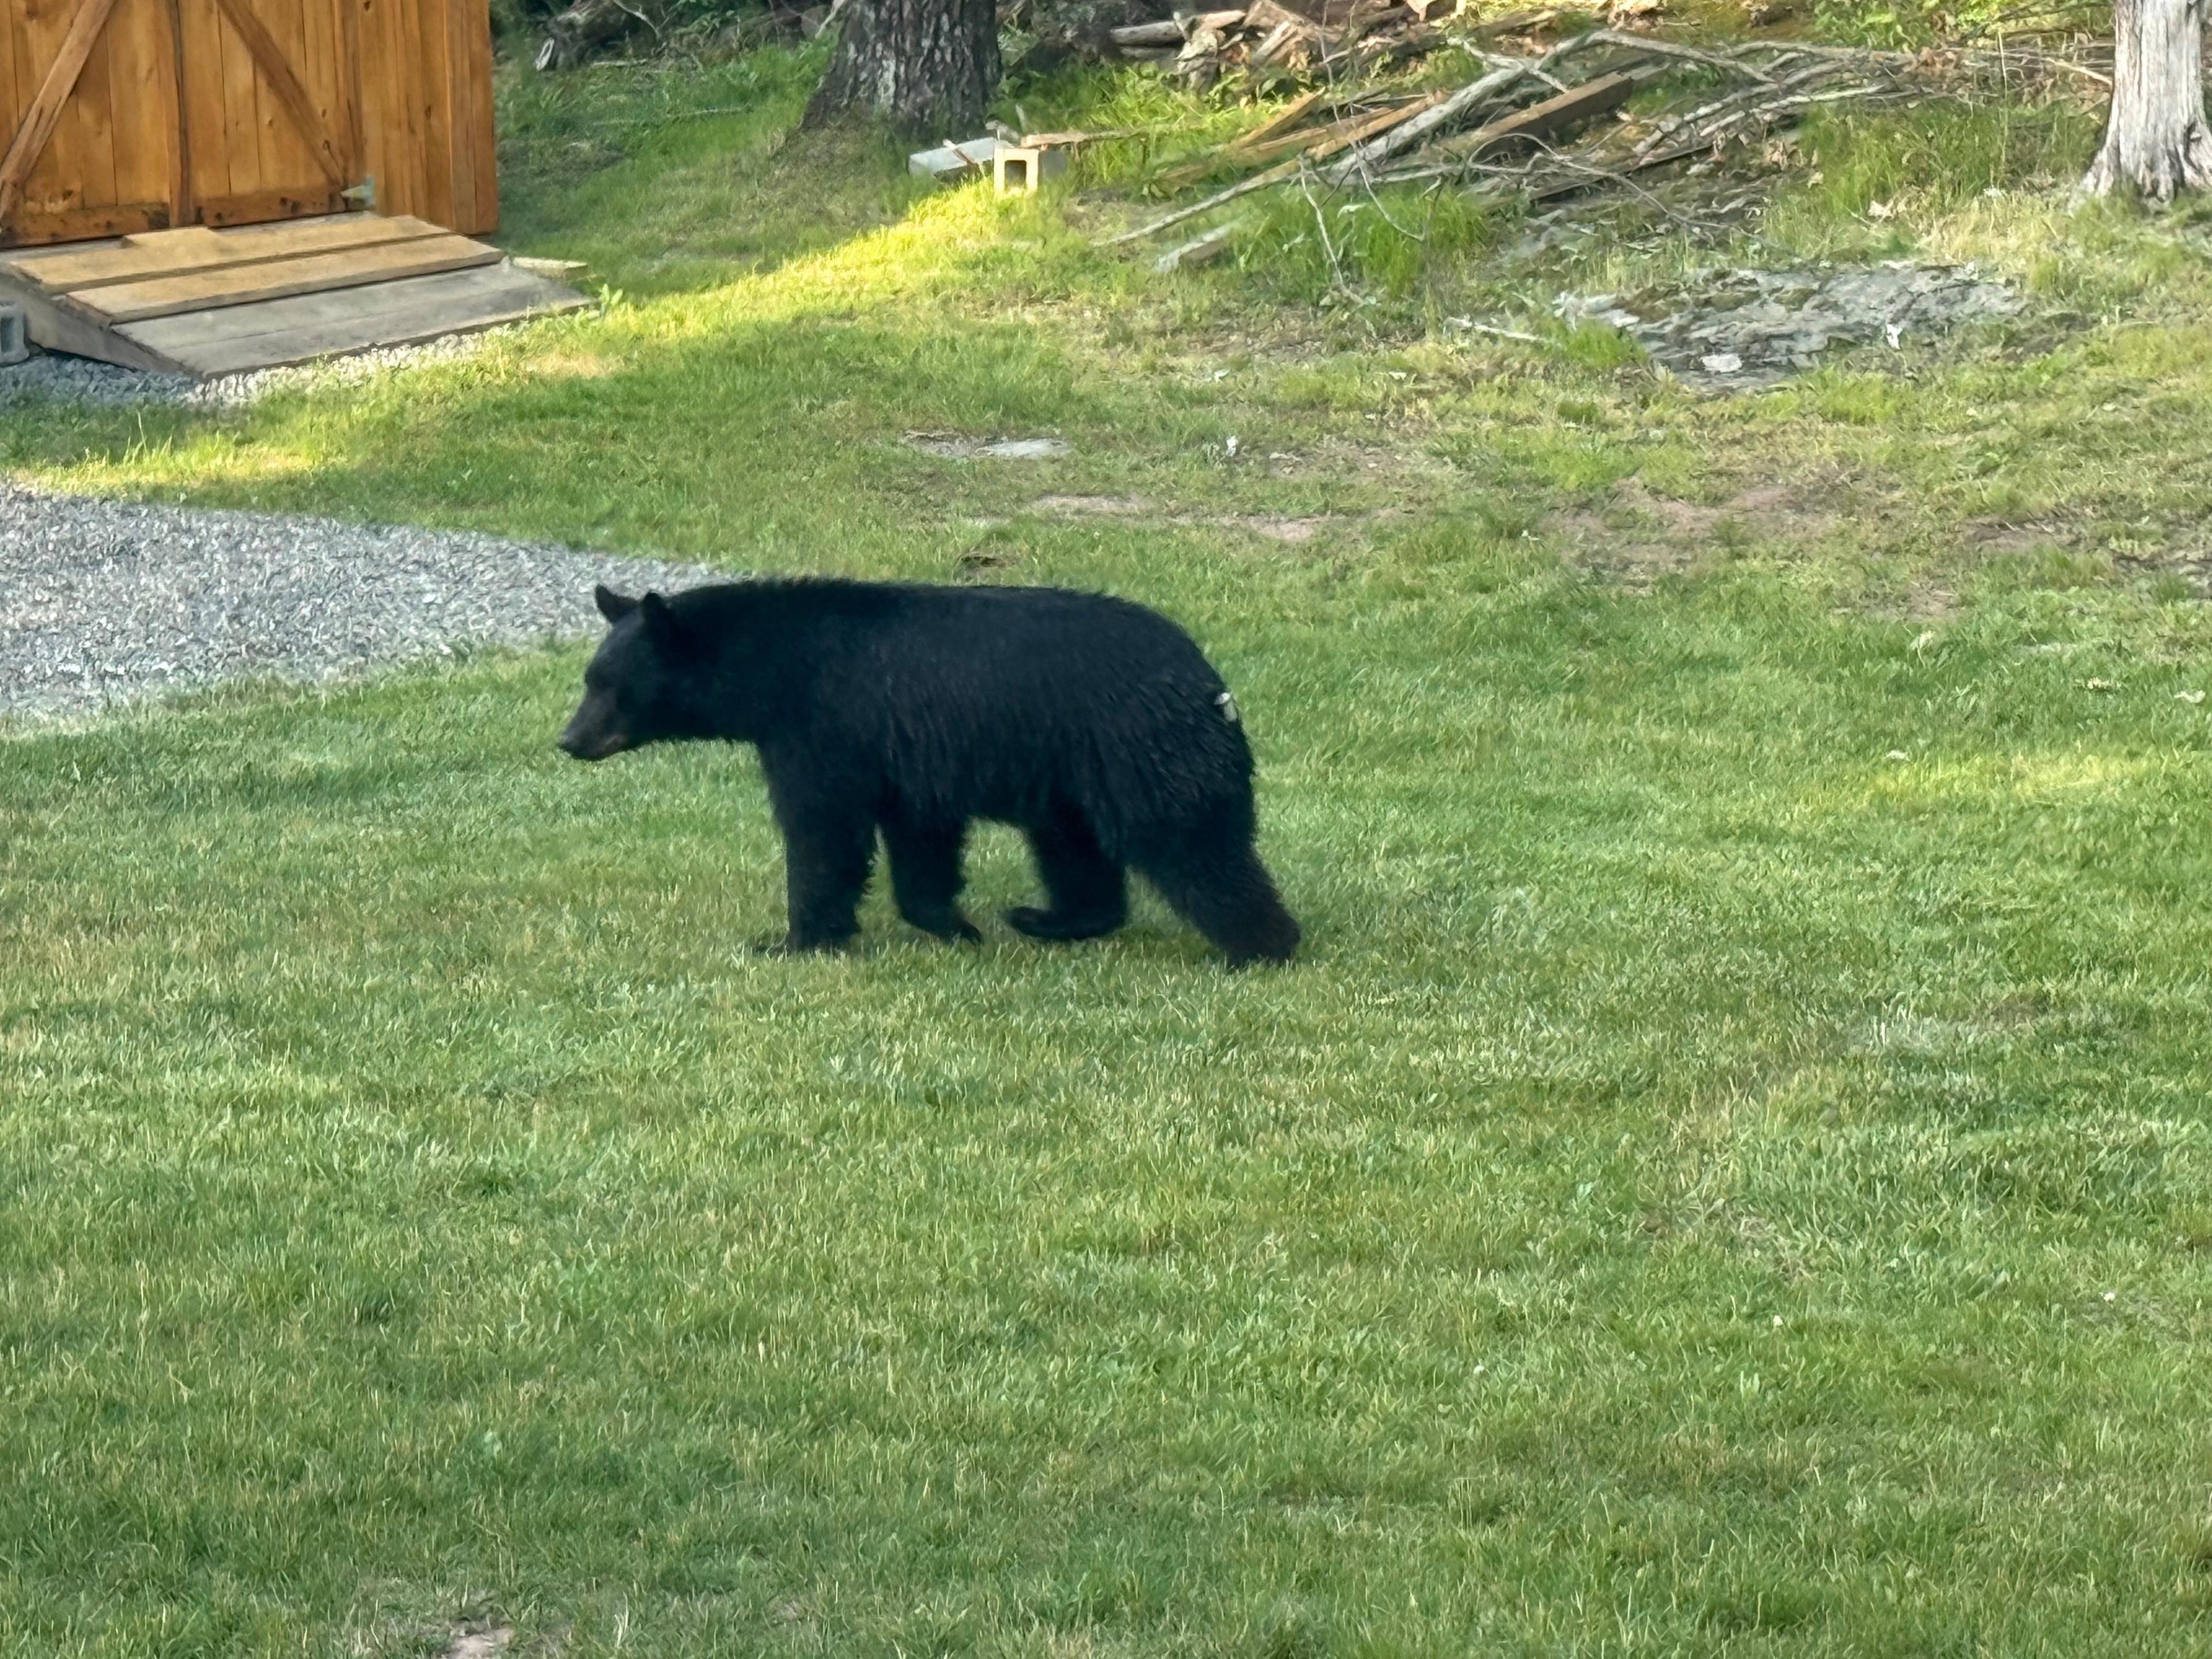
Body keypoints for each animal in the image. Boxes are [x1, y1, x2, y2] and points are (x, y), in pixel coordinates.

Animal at [558, 578, 1300, 965]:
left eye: (610, 686)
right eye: (589, 678)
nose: (568, 740)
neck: (775, 667)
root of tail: (1210, 683)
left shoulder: (823, 731)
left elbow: (823, 833)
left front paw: (793, 939)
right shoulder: (906, 759)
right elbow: (921, 841)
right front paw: (954, 926)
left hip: (1138, 752)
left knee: (1192, 847)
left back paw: (1260, 946)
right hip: (1072, 780)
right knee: (1076, 850)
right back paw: (1045, 919)